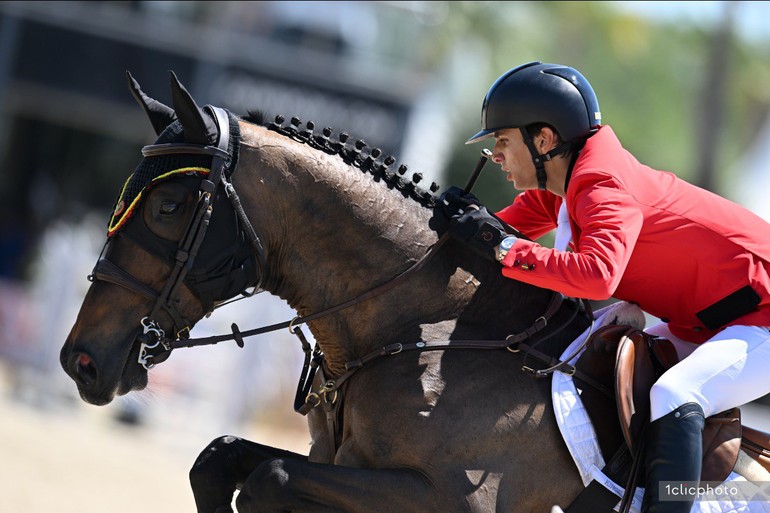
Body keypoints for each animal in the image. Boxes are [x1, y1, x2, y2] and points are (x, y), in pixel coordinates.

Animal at [58, 72, 592, 512]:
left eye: (167, 207)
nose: (79, 361)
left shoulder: (453, 497)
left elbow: (269, 480)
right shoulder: (327, 457)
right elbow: (218, 458)